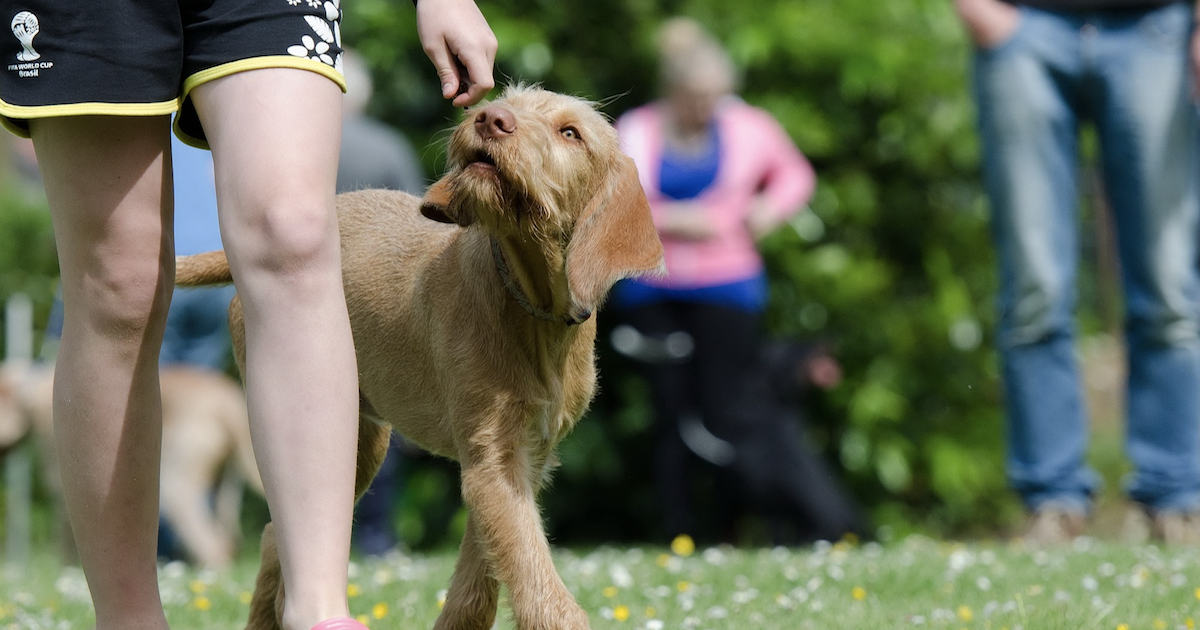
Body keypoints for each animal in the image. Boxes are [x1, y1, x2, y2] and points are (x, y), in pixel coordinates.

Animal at [175, 85, 667, 628]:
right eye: (507, 99)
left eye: (570, 133)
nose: (490, 118)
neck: (531, 305)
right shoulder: (493, 460)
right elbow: (536, 580)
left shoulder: (518, 460)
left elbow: (479, 582)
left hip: (359, 445)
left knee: (272, 537)